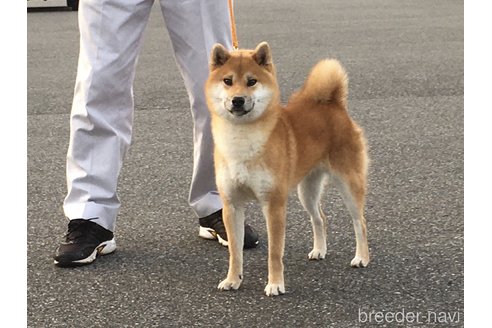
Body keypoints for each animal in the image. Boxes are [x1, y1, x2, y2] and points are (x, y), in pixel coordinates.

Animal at [204, 42, 368, 296]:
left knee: (360, 223)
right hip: (307, 191)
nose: (238, 100)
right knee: (320, 218)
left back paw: (361, 258)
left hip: (349, 184)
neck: (241, 141)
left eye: (252, 81)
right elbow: (235, 251)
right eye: (228, 81)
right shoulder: (231, 205)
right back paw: (319, 250)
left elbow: (274, 252)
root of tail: (334, 105)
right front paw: (233, 280)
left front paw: (275, 284)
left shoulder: (274, 204)